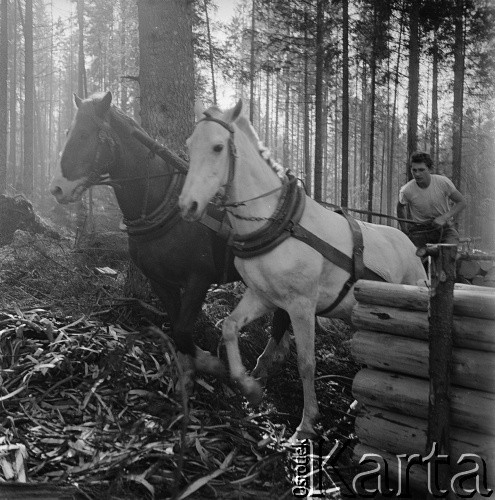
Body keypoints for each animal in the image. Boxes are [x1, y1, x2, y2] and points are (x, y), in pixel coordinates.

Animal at [49, 92, 290, 388]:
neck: (164, 206)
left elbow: (184, 329)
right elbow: (176, 327)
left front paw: (208, 362)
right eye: (68, 133)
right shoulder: (160, 281)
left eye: (84, 134)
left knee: (281, 318)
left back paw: (265, 362)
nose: (57, 188)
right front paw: (186, 370)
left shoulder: (199, 278)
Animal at [178, 101, 426, 442]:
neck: (279, 224)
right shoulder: (263, 296)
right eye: (190, 145)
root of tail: (411, 244)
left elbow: (306, 363)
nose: (186, 206)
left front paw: (307, 423)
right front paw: (249, 387)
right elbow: (228, 326)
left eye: (217, 147)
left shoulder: (302, 305)